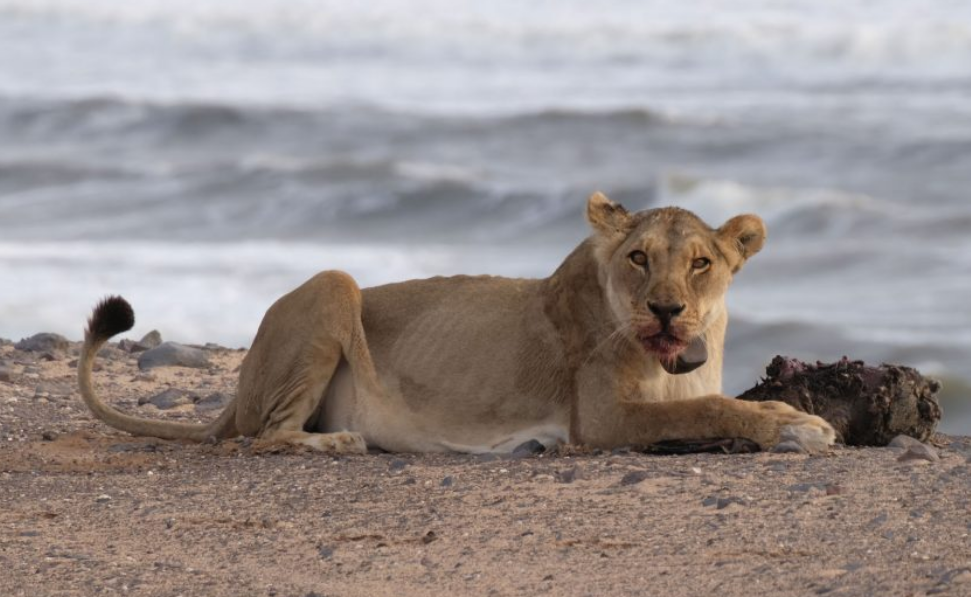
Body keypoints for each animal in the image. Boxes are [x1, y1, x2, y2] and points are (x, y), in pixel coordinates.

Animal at [78, 193, 835, 454]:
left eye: (701, 263)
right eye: (639, 258)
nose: (666, 308)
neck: (679, 356)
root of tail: (231, 397)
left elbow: (717, 399)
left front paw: (788, 414)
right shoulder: (601, 421)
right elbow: (705, 408)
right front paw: (793, 425)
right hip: (333, 283)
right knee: (264, 436)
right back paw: (339, 442)